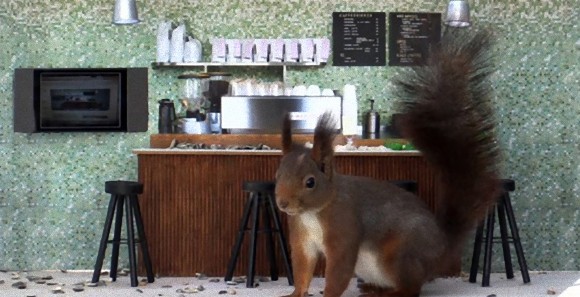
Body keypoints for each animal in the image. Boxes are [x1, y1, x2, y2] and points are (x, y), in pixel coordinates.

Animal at [274, 28, 500, 296]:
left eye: (310, 182)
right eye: (277, 176)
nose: (283, 203)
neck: (311, 214)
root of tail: (441, 252)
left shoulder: (344, 227)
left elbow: (339, 269)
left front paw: (328, 294)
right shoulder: (302, 238)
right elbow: (303, 268)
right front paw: (295, 293)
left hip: (400, 255)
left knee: (411, 288)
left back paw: (393, 292)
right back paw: (374, 289)